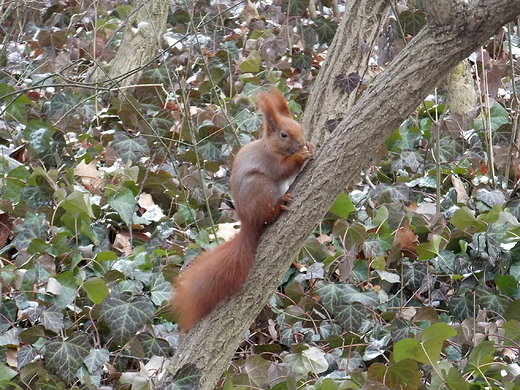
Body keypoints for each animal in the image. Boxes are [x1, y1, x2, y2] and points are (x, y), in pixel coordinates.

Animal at [173, 88, 314, 332]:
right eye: (284, 135)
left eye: (299, 126)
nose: (301, 142)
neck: (270, 147)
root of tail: (247, 221)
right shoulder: (270, 161)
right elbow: (284, 169)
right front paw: (300, 155)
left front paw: (311, 146)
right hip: (261, 186)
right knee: (267, 217)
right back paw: (278, 208)